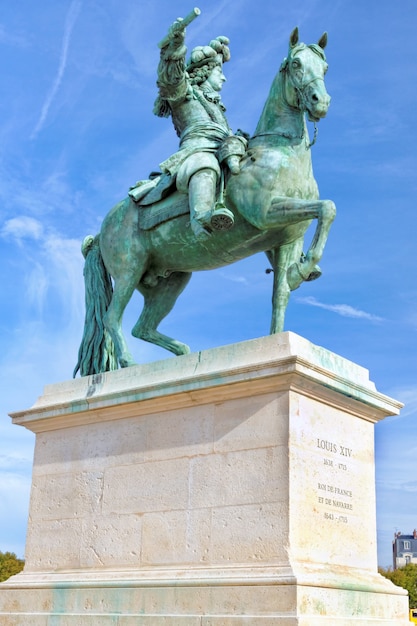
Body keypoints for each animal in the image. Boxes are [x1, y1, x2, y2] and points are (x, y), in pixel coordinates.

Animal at [74, 26, 334, 372]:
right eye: (295, 64)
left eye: (325, 67)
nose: (321, 102)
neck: (280, 151)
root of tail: (100, 232)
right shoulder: (266, 213)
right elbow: (328, 207)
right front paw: (302, 270)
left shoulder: (287, 239)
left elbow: (280, 294)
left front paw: (294, 289)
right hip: (129, 269)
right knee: (111, 317)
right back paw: (130, 363)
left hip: (170, 280)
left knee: (141, 326)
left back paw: (182, 354)